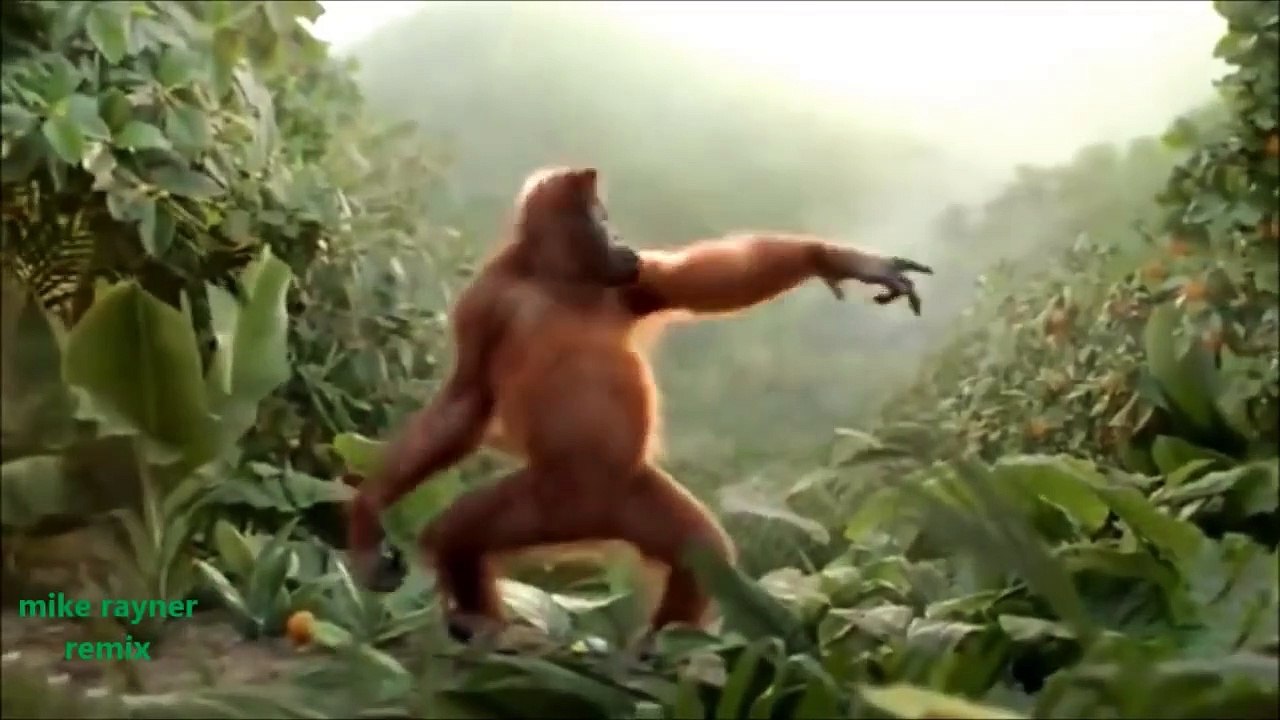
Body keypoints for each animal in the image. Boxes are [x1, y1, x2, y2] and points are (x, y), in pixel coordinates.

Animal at [346, 165, 932, 643]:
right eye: (600, 219)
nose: (619, 237)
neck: (556, 279)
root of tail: (585, 522)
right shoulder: (485, 302)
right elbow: (466, 399)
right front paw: (367, 513)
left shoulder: (635, 280)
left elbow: (704, 281)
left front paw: (836, 259)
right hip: (543, 499)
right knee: (457, 537)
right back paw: (484, 631)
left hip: (625, 496)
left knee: (700, 555)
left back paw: (662, 649)